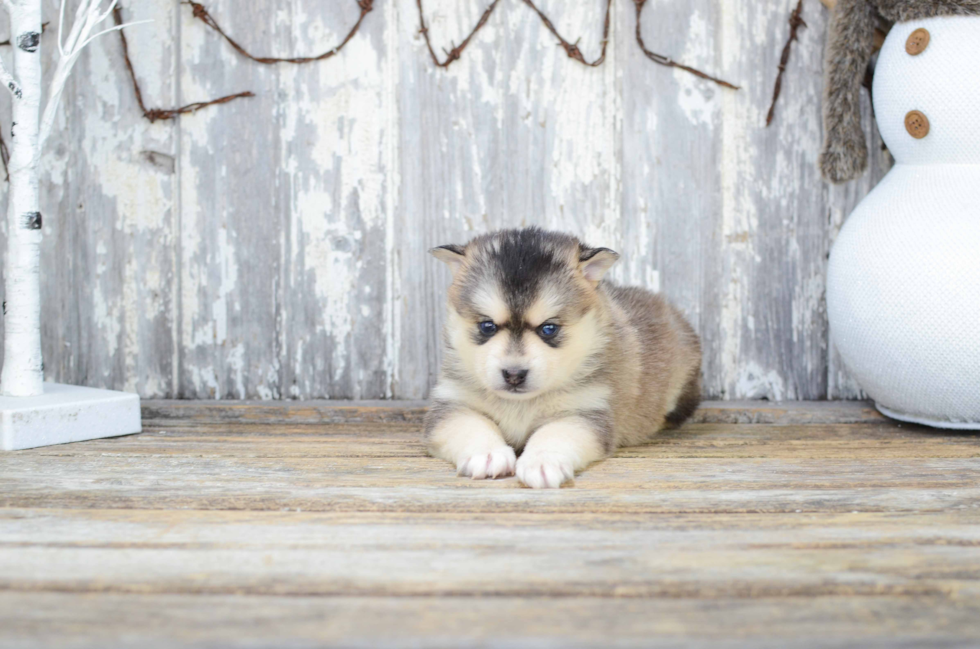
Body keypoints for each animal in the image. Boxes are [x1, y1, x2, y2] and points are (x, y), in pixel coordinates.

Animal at [424, 227, 700, 486]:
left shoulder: (585, 410)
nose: (514, 375)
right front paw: (487, 454)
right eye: (487, 326)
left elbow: (555, 433)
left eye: (549, 328)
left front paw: (542, 461)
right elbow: (470, 426)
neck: (521, 404)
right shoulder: (453, 402)